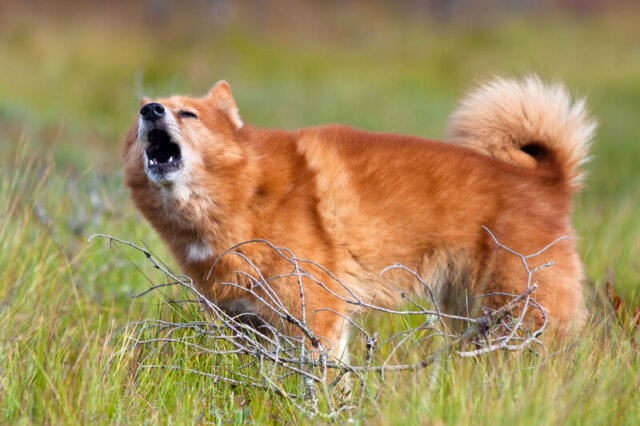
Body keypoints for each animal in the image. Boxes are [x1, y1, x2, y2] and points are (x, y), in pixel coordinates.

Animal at [124, 76, 596, 356]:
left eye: (188, 113)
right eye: (141, 117)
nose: (150, 110)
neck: (248, 192)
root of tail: (548, 180)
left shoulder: (315, 320)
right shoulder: (246, 323)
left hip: (523, 314)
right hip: (468, 311)